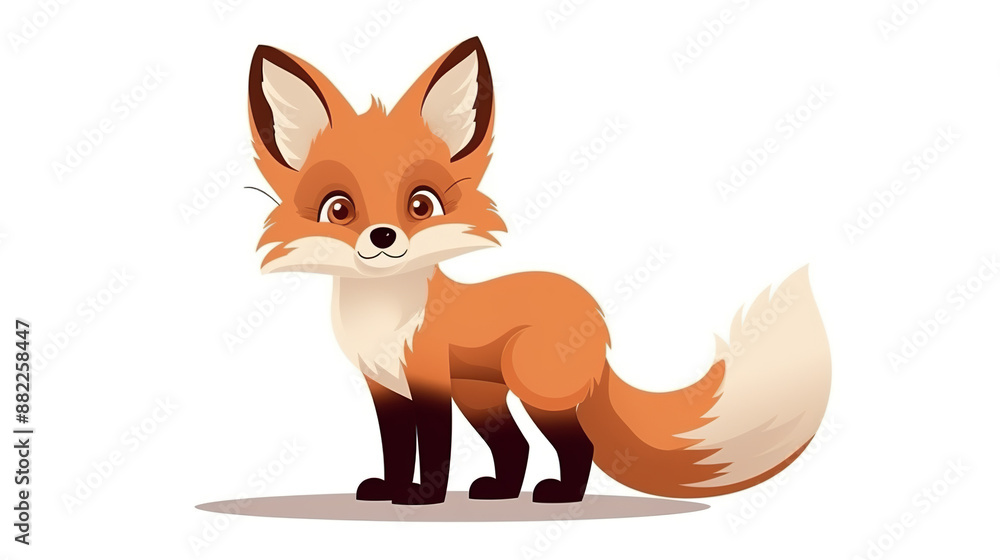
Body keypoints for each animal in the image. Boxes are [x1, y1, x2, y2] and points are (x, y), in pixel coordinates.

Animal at [247, 37, 831, 505]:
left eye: (421, 204)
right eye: (339, 209)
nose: (384, 237)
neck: (385, 318)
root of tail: (594, 313)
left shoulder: (430, 381)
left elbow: (433, 448)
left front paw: (422, 499)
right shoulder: (385, 388)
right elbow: (396, 449)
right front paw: (389, 490)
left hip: (534, 391)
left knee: (578, 445)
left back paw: (563, 496)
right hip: (482, 395)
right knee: (517, 445)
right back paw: (503, 492)